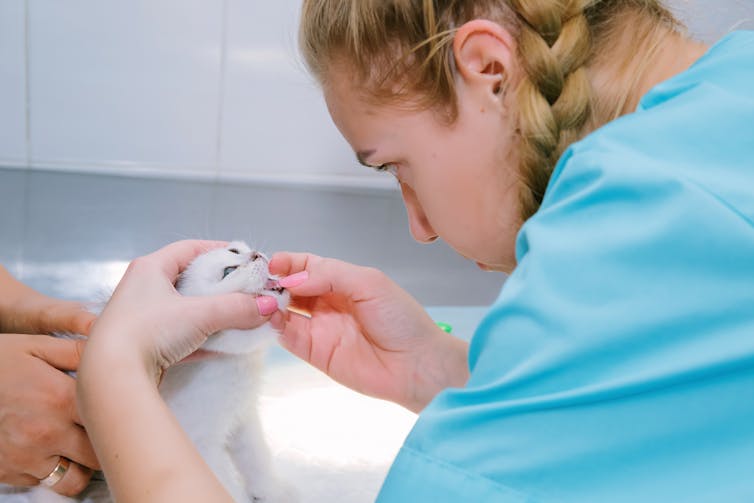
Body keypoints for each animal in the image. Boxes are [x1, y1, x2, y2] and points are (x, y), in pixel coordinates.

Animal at [19, 240, 296, 503]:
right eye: (229, 271)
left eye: (235, 250)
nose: (256, 255)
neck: (232, 365)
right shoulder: (200, 445)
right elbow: (227, 488)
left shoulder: (243, 419)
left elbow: (257, 460)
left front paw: (274, 493)